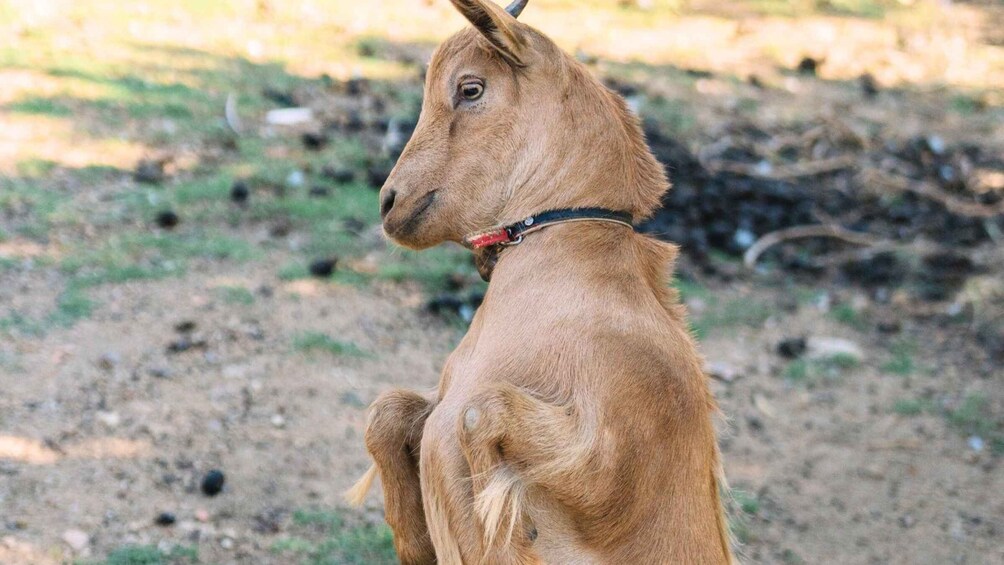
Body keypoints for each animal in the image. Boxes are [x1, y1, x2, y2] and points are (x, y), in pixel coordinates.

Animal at [349, 2, 734, 561]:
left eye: (471, 88)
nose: (390, 203)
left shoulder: (613, 463)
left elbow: (480, 412)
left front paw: (507, 528)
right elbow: (389, 411)